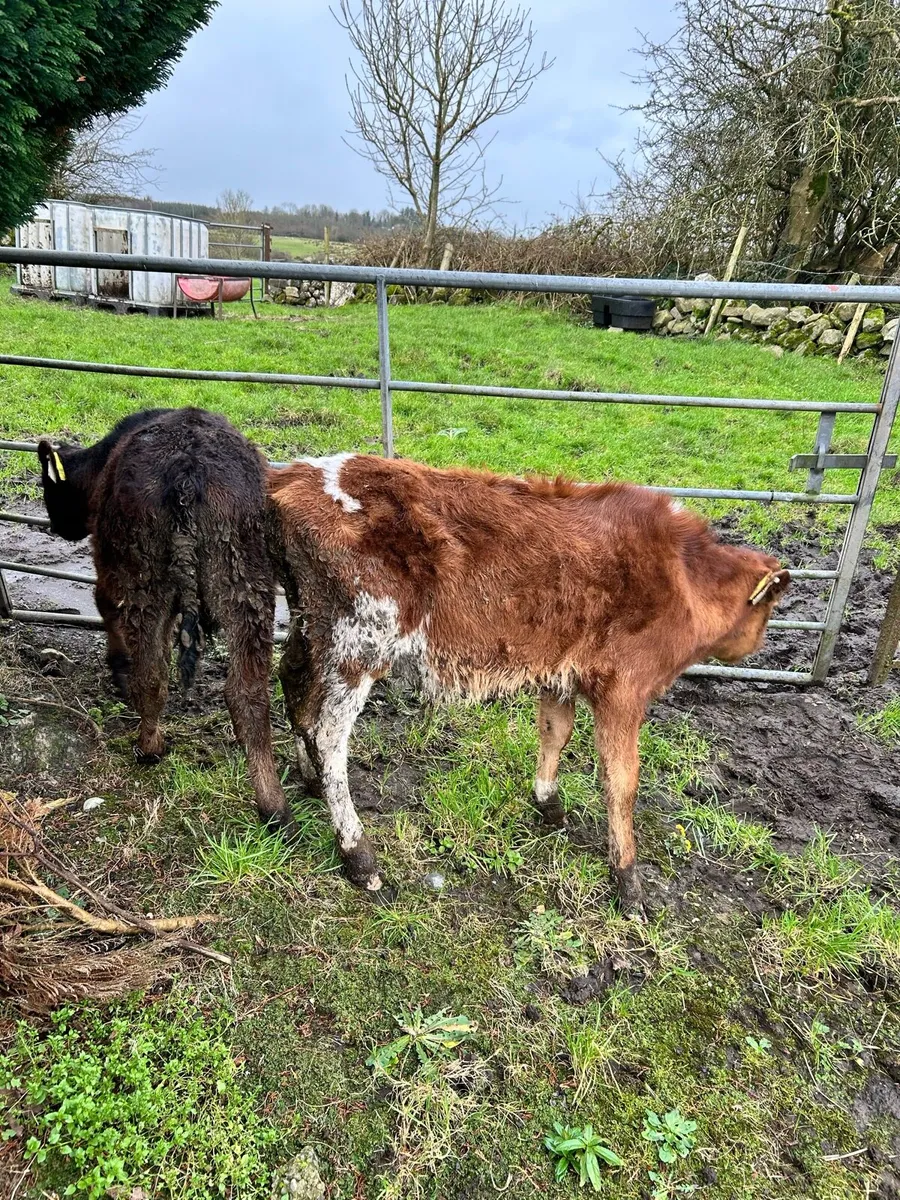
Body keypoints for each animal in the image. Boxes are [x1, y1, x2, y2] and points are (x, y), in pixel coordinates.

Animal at [37, 407, 295, 837]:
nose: (57, 527)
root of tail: (187, 471)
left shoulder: (107, 561)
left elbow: (104, 603)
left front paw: (117, 664)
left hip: (146, 578)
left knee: (151, 672)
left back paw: (149, 745)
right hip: (246, 582)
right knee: (248, 694)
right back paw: (273, 806)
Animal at [266, 453, 789, 915]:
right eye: (767, 609)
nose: (758, 644)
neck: (682, 573)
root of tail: (294, 476)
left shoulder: (560, 672)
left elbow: (555, 733)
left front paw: (549, 805)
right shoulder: (623, 688)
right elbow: (621, 781)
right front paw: (628, 881)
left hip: (314, 628)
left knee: (296, 693)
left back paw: (311, 781)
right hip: (361, 643)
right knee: (328, 735)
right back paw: (358, 855)